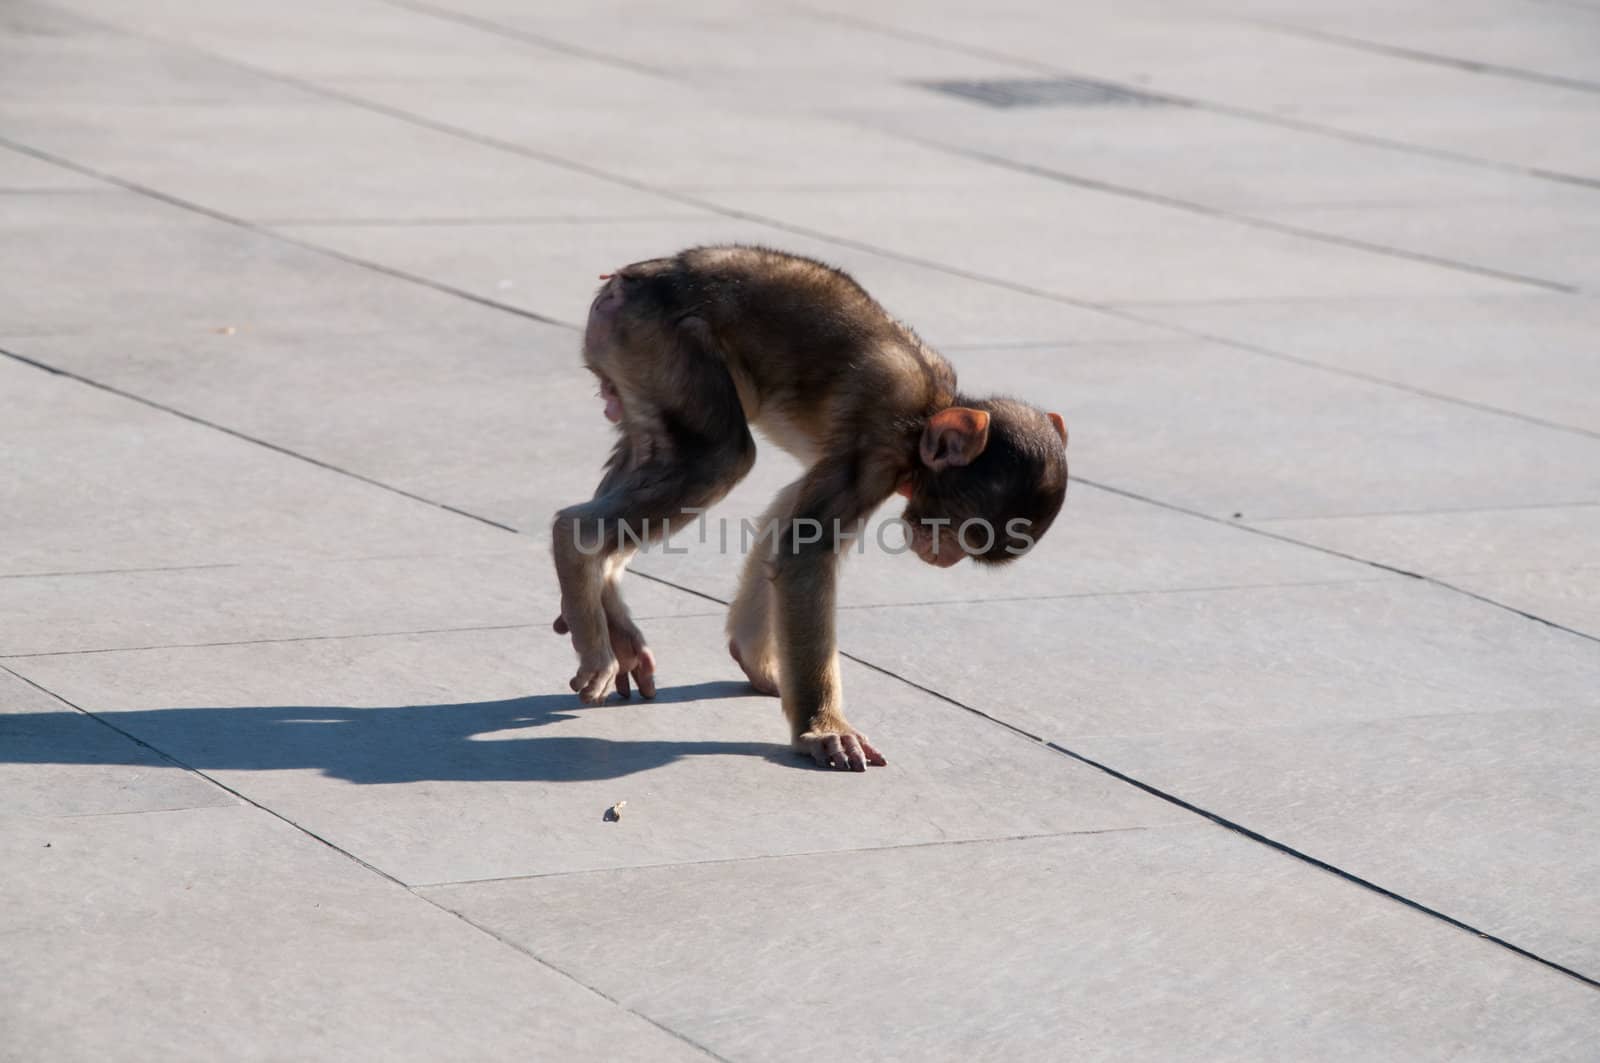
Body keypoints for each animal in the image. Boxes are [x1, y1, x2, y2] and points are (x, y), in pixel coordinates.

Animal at [556, 249, 1068, 771]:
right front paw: (822, 730)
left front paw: (756, 661)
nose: (944, 557)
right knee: (719, 456)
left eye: (967, 546)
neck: (927, 414)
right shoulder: (876, 449)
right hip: (661, 344)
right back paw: (579, 550)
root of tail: (633, 278)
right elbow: (805, 550)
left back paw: (607, 602)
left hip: (631, 362)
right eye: (962, 531)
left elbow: (786, 513)